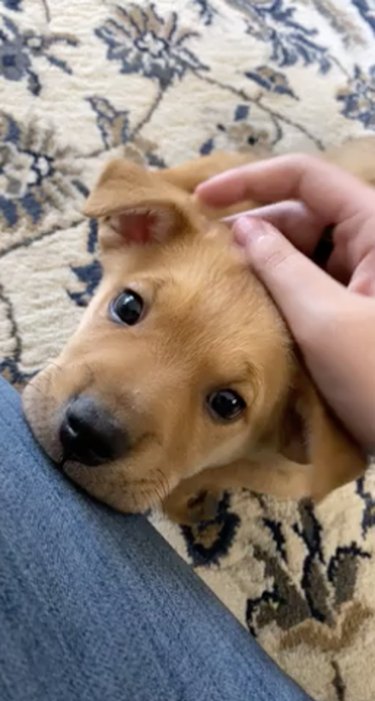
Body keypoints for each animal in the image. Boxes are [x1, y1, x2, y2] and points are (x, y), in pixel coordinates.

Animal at [22, 139, 374, 524]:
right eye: (128, 306)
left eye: (227, 403)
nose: (87, 433)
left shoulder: (288, 475)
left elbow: (217, 473)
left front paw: (188, 502)